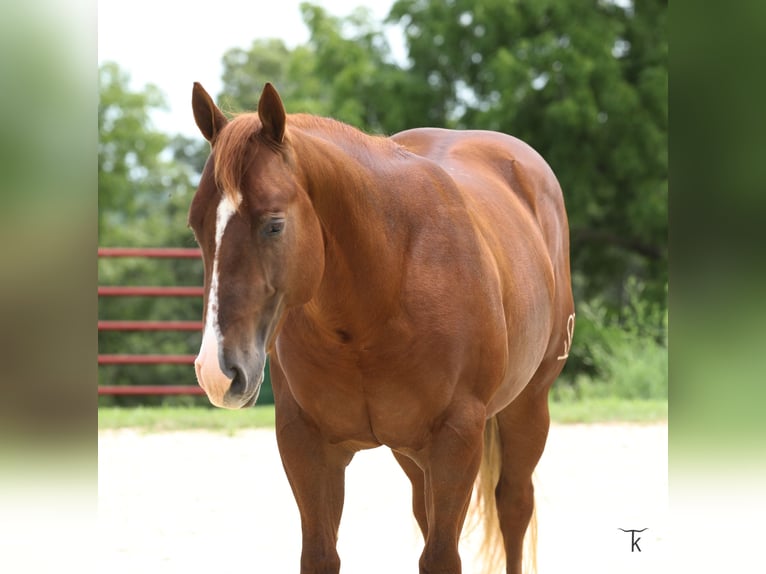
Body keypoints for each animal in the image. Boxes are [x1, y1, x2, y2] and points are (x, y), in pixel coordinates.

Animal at [190, 81, 574, 574]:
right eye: (196, 226)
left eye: (274, 224)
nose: (217, 372)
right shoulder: (307, 446)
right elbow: (321, 554)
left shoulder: (456, 441)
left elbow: (442, 556)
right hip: (411, 453)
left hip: (528, 407)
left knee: (513, 506)